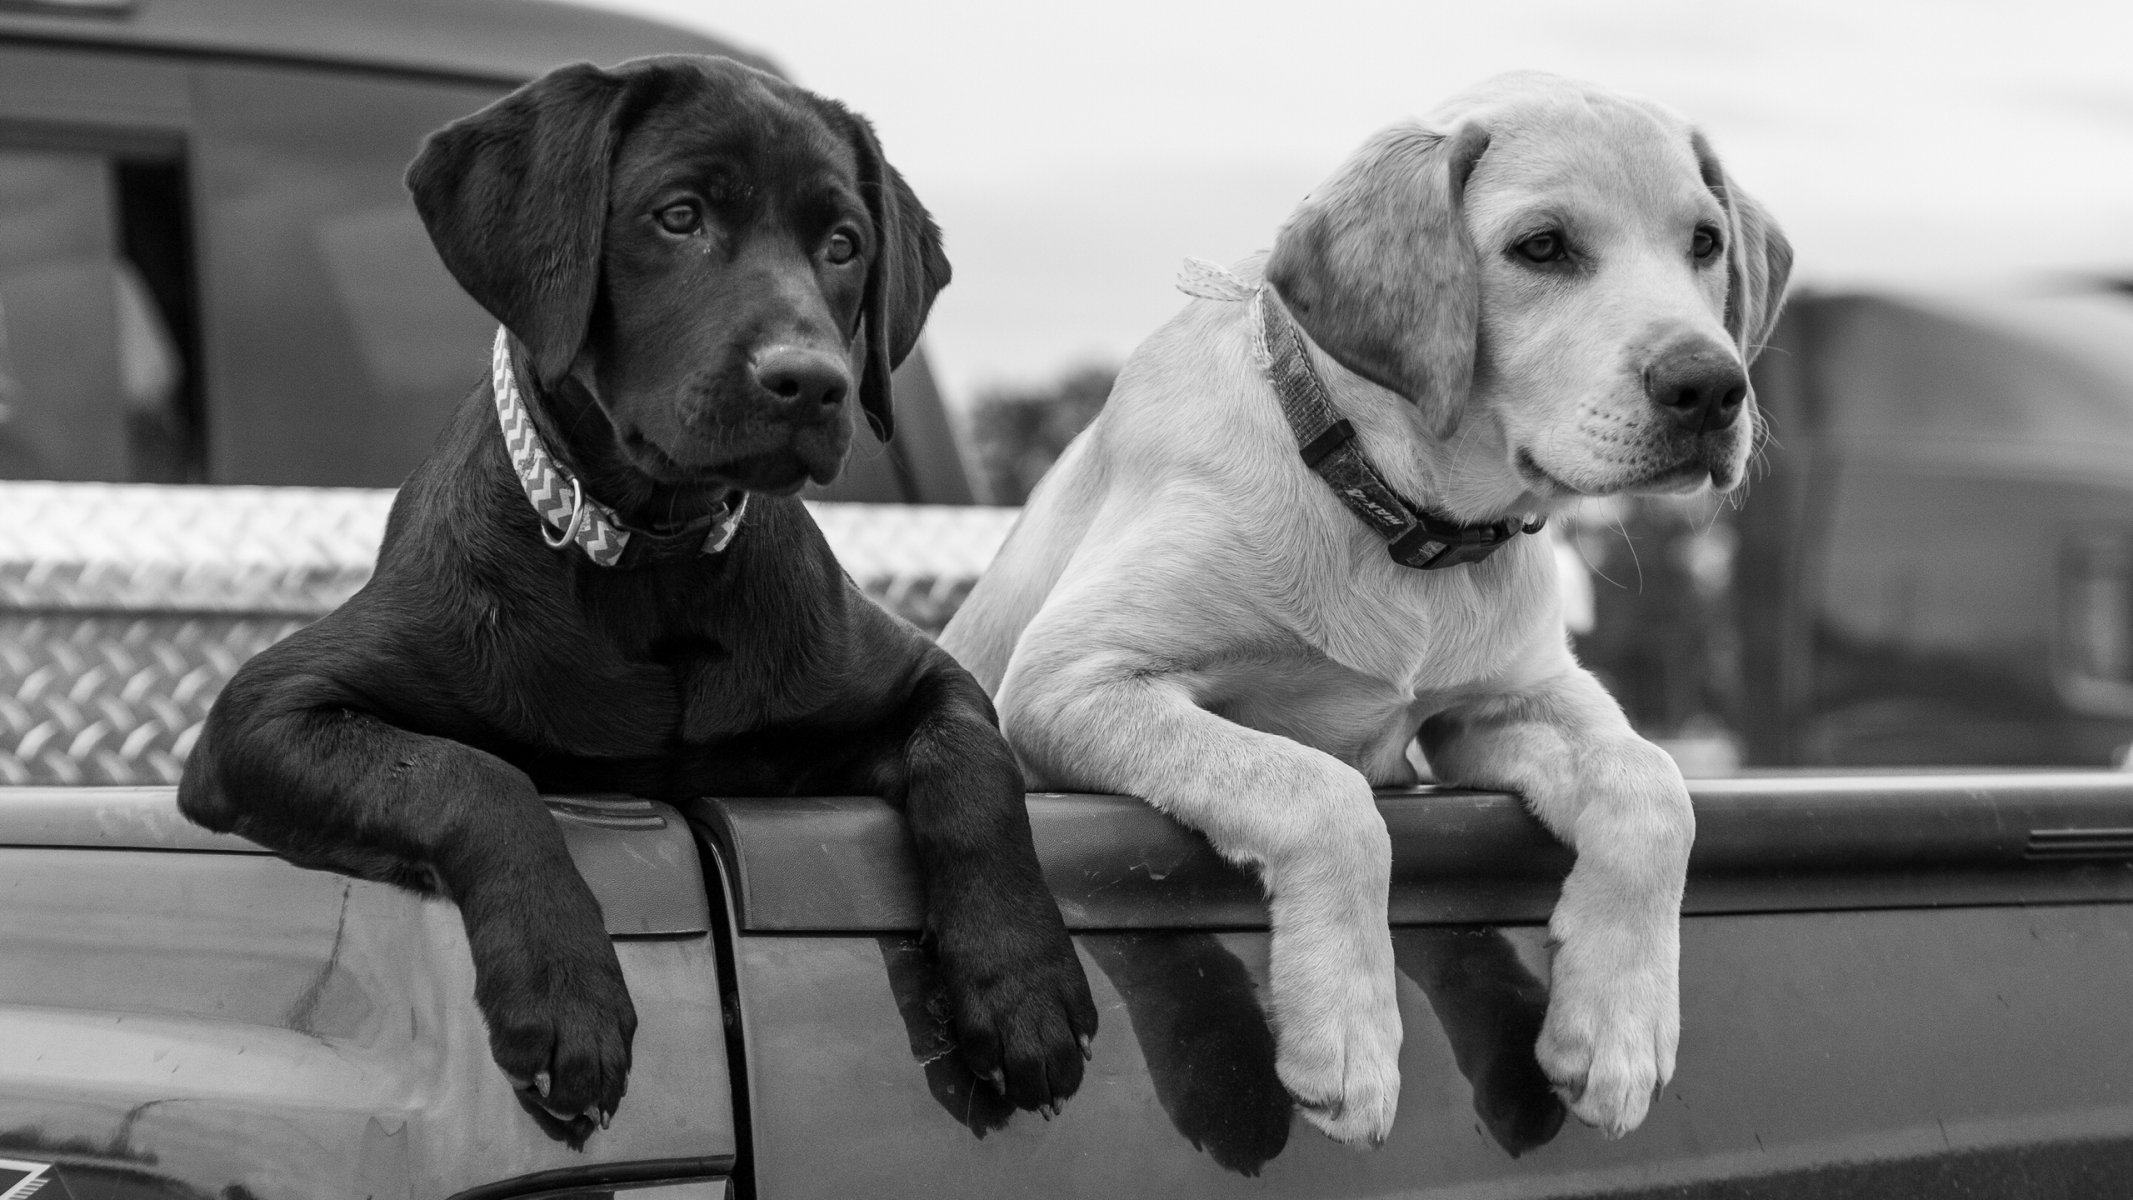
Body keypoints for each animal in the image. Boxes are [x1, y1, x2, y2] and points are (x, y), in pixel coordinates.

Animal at [179, 56, 1100, 1133]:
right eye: (679, 216)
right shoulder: (264, 711)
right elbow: (468, 774)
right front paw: (563, 990)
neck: (656, 561)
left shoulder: (923, 679)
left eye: (843, 244)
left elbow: (974, 773)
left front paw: (1023, 984)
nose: (814, 382)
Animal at [942, 75, 1791, 1142]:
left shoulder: (1509, 699)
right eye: (1541, 247)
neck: (1399, 514)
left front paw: (1617, 1032)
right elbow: (1321, 791)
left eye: (1704, 243)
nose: (1713, 387)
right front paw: (1345, 1036)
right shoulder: (1069, 678)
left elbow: (1654, 786)